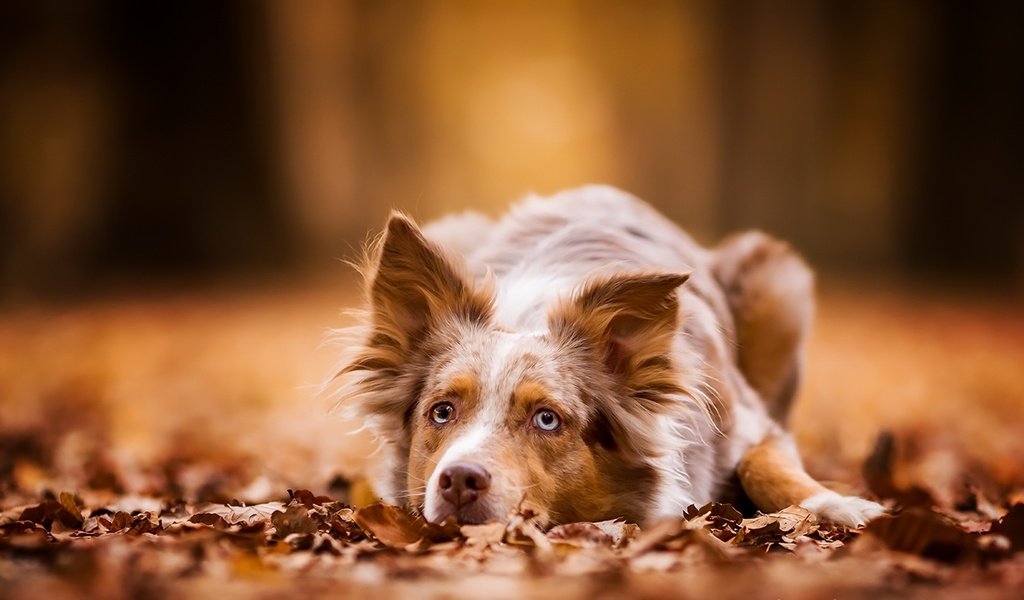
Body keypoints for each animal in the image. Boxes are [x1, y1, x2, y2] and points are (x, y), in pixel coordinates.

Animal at [331, 184, 884, 524]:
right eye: (441, 412)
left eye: (547, 419)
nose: (459, 480)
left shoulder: (753, 422)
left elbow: (764, 466)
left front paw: (843, 507)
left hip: (776, 280)